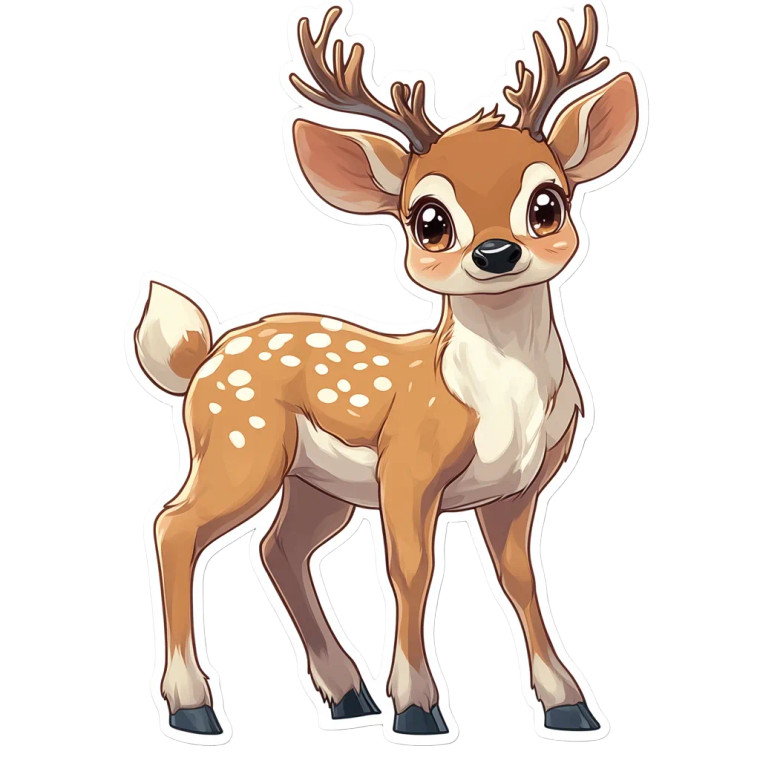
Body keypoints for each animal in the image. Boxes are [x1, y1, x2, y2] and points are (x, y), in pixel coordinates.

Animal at [134, 4, 639, 739]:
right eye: (429, 220)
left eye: (548, 203)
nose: (496, 252)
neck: (500, 403)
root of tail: (201, 358)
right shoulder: (407, 466)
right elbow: (412, 570)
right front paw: (418, 706)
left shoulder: (520, 488)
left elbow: (519, 579)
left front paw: (567, 703)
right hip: (239, 445)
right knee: (175, 526)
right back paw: (193, 706)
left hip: (316, 485)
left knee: (279, 549)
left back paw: (347, 694)